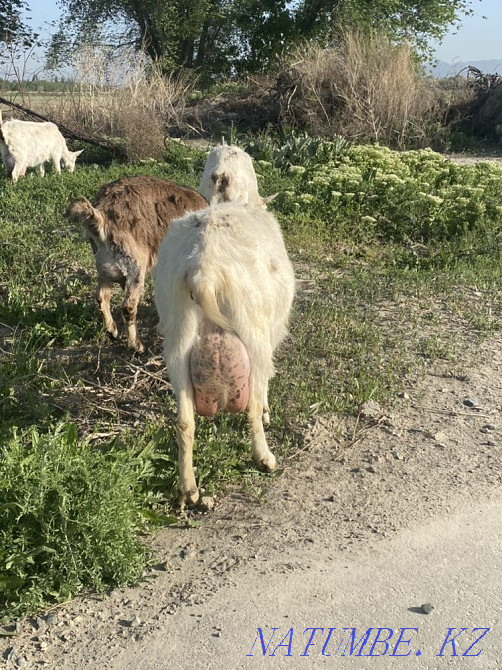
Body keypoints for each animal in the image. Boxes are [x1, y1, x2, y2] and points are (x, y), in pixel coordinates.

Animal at [65, 175, 207, 353]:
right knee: (128, 306)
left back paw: (112, 330)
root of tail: (101, 216)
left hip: (103, 267)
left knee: (102, 296)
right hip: (135, 266)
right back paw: (136, 345)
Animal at [154, 202, 295, 506]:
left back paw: (189, 489)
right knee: (252, 406)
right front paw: (268, 413)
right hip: (253, 329)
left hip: (178, 337)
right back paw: (265, 458)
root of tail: (203, 269)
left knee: (184, 422)